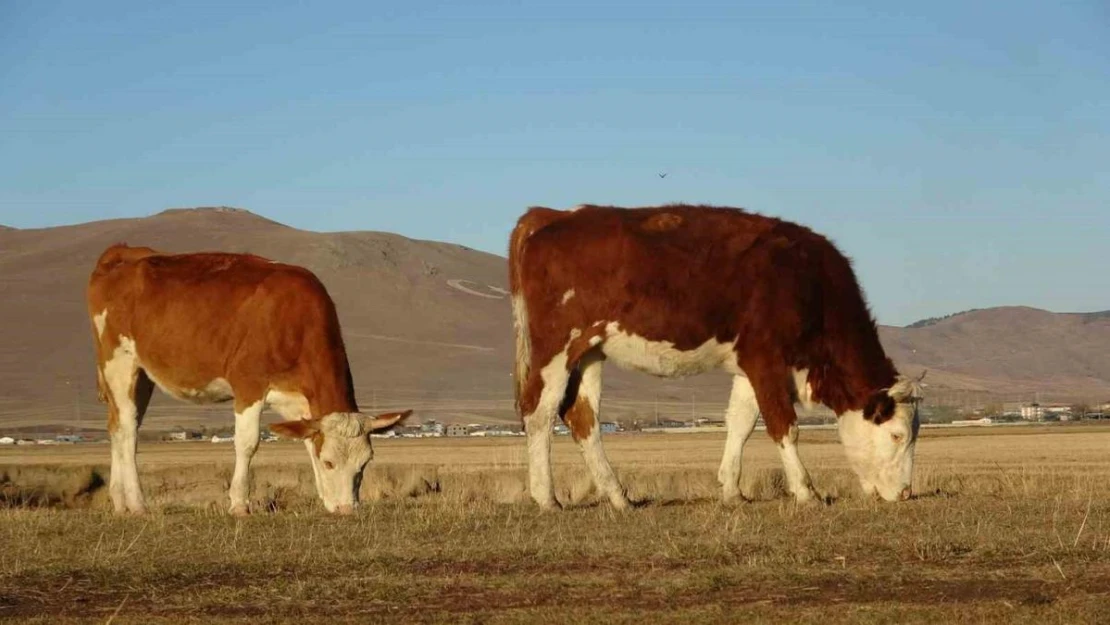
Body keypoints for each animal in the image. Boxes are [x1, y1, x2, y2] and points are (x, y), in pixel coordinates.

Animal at [84, 245, 410, 519]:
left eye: (365, 463)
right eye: (330, 462)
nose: (347, 509)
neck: (293, 321)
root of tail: (123, 252)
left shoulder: (298, 400)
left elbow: (307, 441)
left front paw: (324, 498)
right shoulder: (248, 385)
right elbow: (247, 443)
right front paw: (239, 503)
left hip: (142, 375)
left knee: (118, 426)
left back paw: (120, 502)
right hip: (118, 361)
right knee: (128, 429)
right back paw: (137, 503)